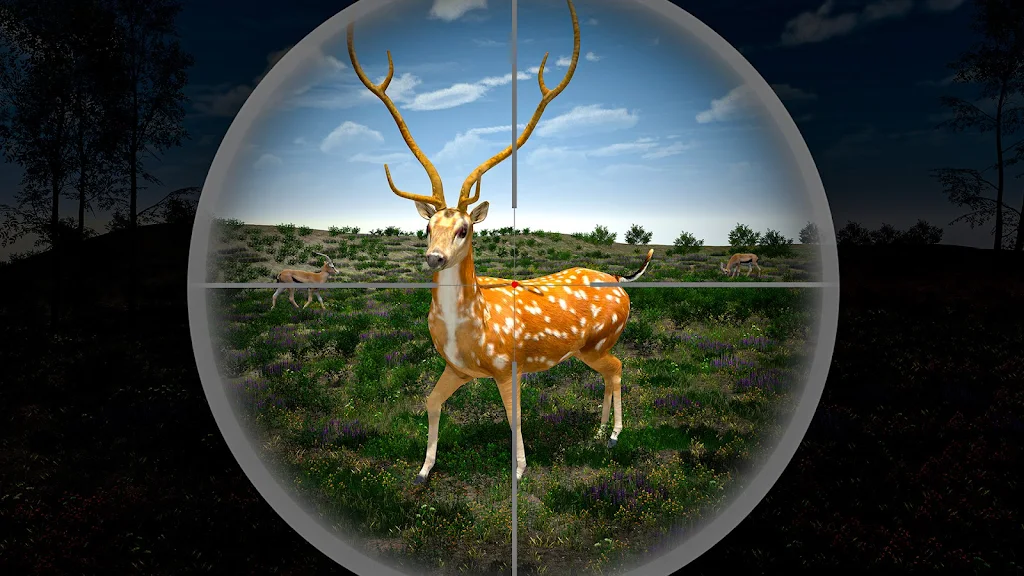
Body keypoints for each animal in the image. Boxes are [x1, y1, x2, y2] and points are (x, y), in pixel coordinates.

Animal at [348, 0, 654, 485]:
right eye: (427, 227)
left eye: (464, 229)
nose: (434, 258)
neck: (471, 330)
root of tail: (622, 280)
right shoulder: (456, 368)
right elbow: (430, 402)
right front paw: (423, 469)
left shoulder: (507, 366)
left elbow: (515, 417)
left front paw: (521, 470)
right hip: (589, 348)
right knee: (610, 373)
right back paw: (596, 431)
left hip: (600, 341)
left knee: (620, 368)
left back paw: (614, 435)